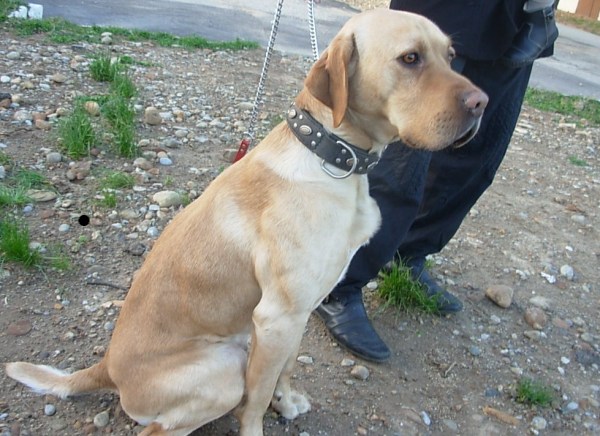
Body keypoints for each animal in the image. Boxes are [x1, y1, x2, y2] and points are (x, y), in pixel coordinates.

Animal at [5, 7, 488, 436]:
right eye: (410, 58)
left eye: (450, 55)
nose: (482, 103)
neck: (332, 157)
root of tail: (106, 367)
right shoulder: (277, 317)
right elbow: (256, 399)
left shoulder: (299, 313)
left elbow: (286, 370)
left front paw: (287, 402)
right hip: (224, 371)